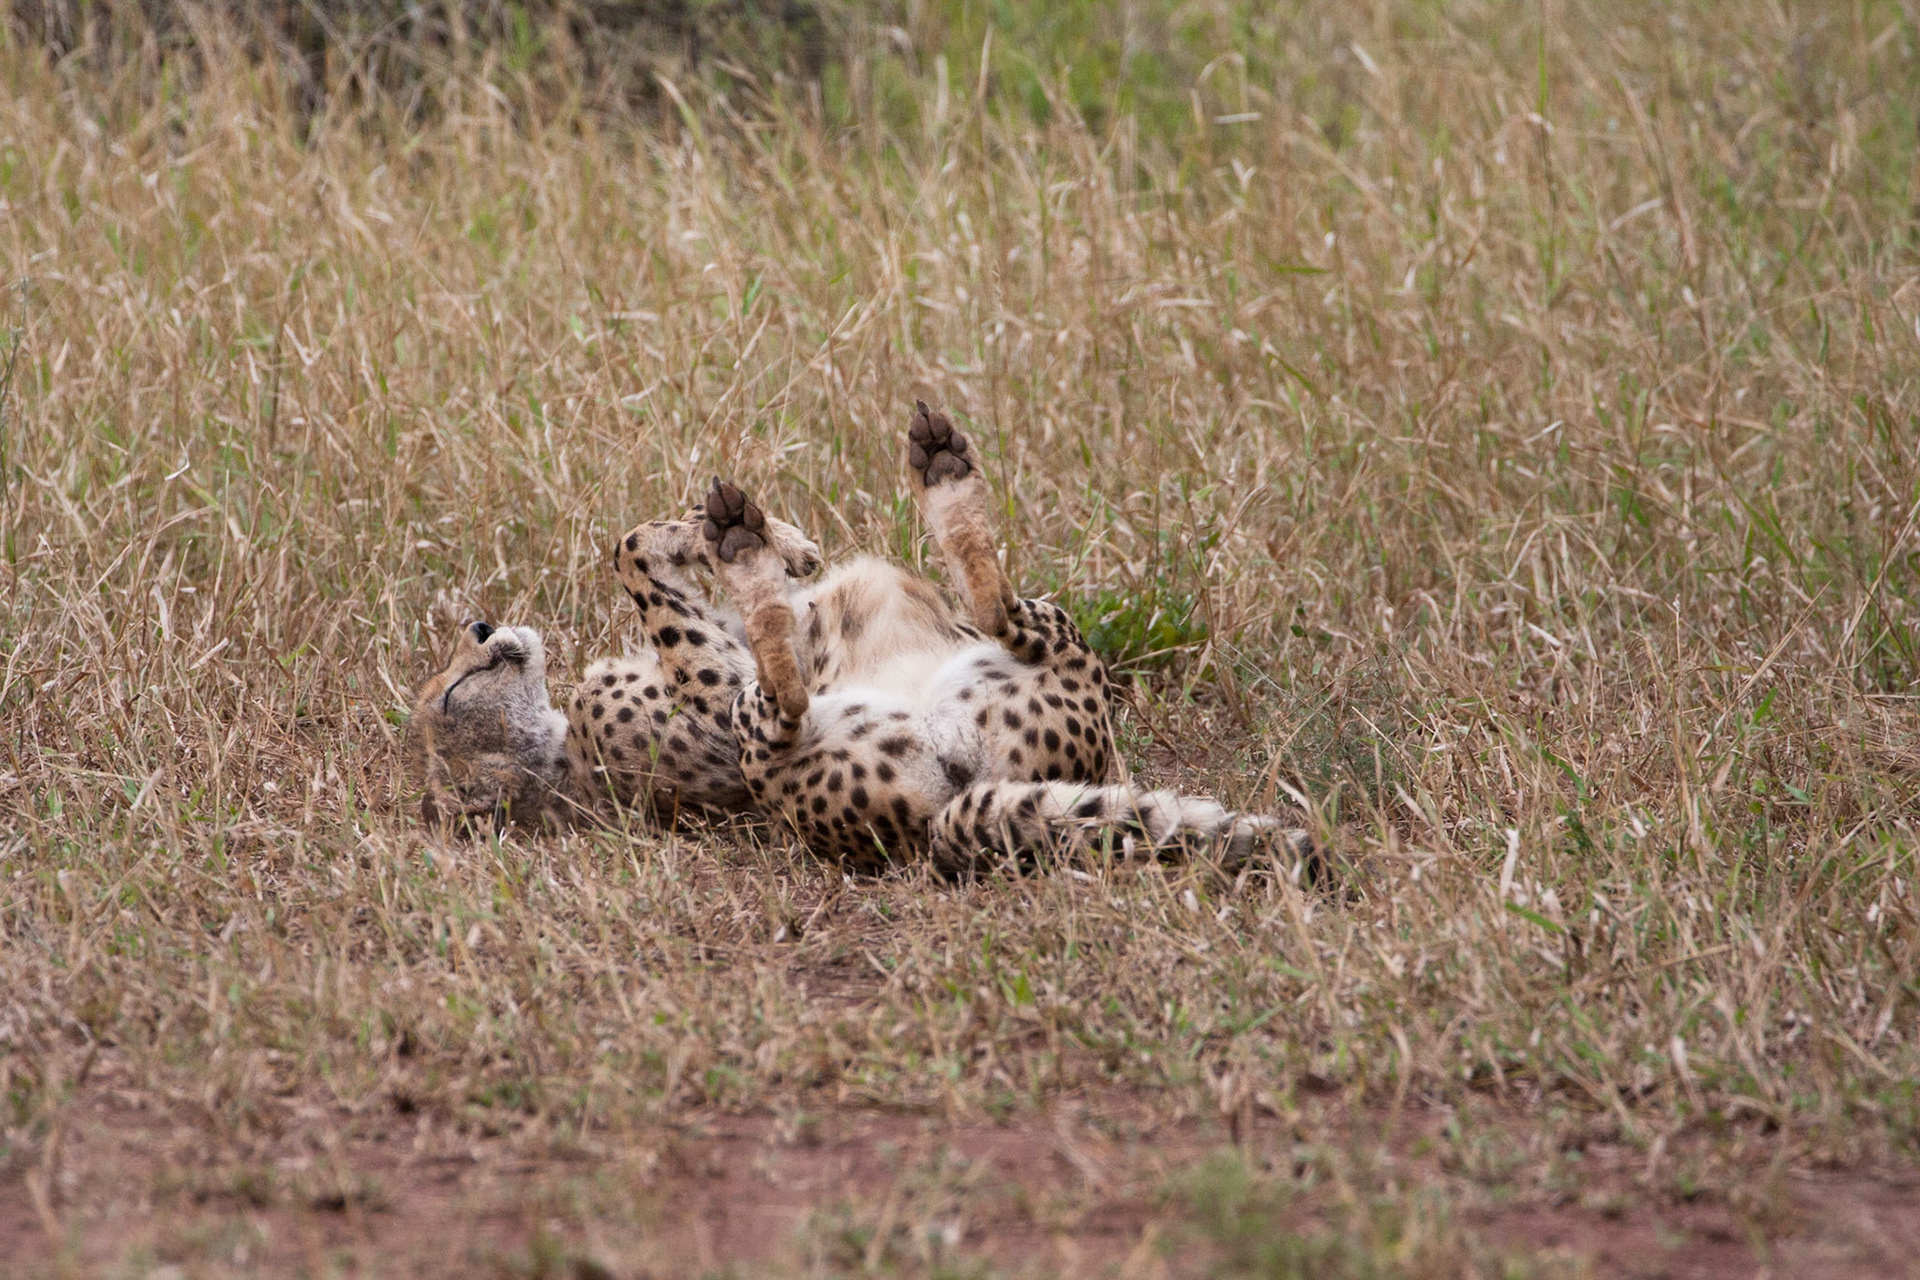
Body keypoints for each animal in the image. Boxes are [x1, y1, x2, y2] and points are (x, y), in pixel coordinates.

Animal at [404, 404, 1315, 878]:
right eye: (456, 694)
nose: (482, 629)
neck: (565, 752)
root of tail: (942, 815)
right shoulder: (711, 707)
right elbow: (649, 573)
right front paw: (751, 545)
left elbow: (633, 543)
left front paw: (776, 538)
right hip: (781, 747)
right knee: (793, 698)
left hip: (1048, 657)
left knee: (997, 608)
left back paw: (929, 477)